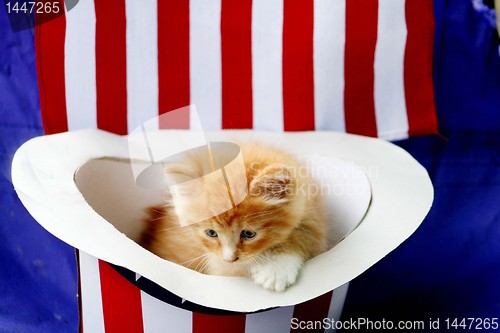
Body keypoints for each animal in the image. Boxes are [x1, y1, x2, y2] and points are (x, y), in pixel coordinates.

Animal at [141, 143, 328, 290]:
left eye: (248, 234)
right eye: (211, 233)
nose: (230, 259)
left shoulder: (312, 211)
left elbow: (304, 233)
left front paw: (276, 267)